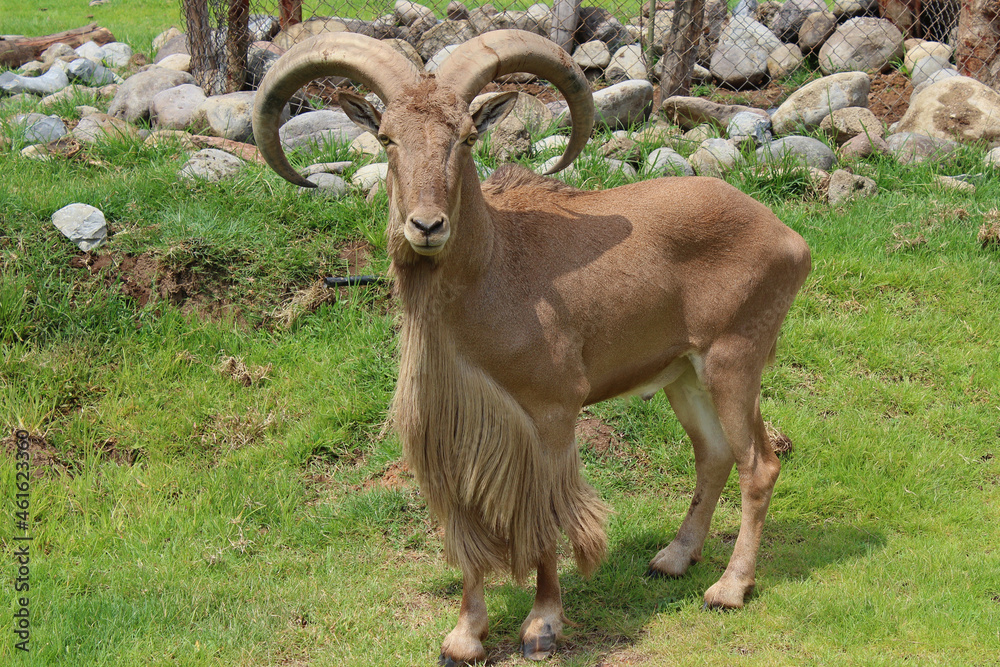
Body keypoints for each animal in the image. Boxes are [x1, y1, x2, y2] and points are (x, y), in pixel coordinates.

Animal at [252, 29, 811, 665]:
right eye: (387, 137)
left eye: (466, 137)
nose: (427, 226)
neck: (492, 275)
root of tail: (789, 238)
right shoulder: (453, 425)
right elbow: (465, 525)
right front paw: (465, 635)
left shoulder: (551, 414)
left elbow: (545, 518)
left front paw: (542, 624)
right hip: (685, 375)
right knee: (713, 456)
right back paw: (673, 559)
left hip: (734, 360)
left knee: (758, 465)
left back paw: (729, 587)